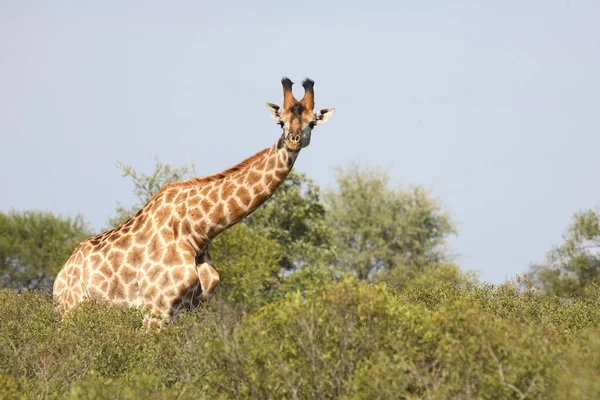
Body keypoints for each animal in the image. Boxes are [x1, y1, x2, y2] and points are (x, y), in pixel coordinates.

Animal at [53, 78, 336, 328]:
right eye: (280, 122)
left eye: (312, 123)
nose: (293, 140)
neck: (198, 232)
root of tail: (59, 278)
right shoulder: (157, 308)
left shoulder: (193, 309)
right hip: (71, 311)